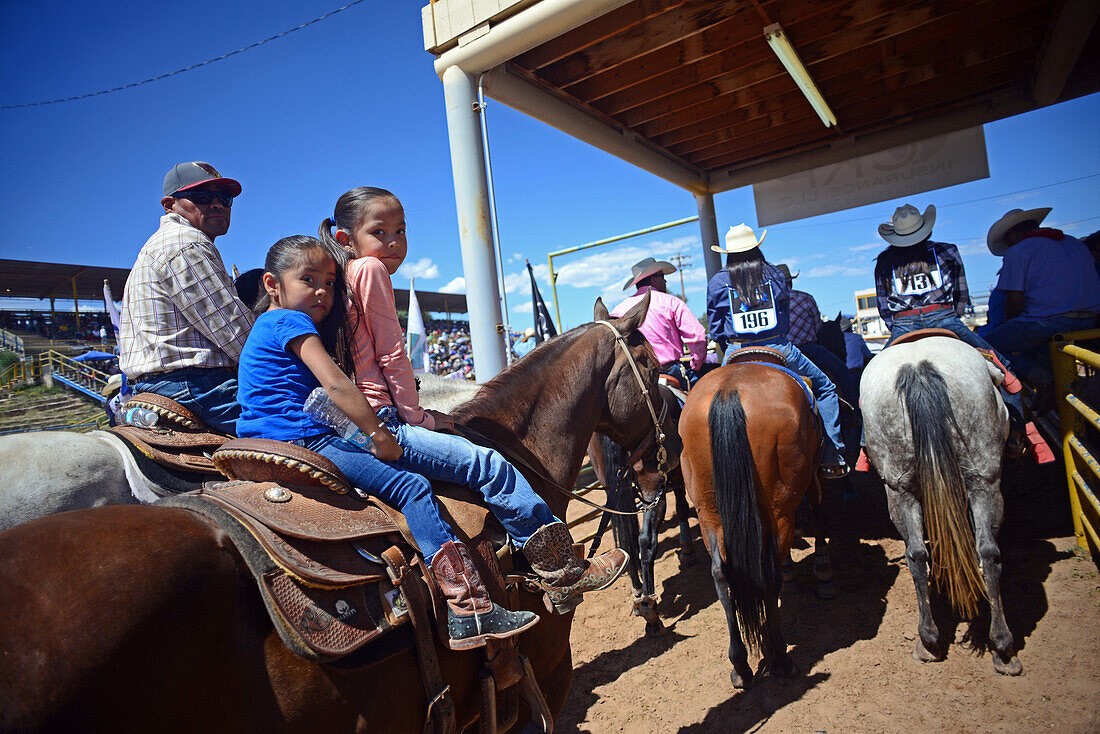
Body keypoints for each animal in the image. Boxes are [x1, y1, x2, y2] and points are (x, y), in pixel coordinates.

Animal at [677, 354, 831, 691]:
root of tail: (729, 390)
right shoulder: (813, 478)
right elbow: (818, 515)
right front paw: (822, 573)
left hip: (708, 510)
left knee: (721, 574)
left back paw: (740, 666)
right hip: (779, 508)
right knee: (769, 572)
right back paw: (780, 657)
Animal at [858, 336, 1020, 673]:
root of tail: (919, 367)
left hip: (899, 488)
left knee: (918, 555)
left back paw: (929, 640)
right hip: (985, 478)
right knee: (989, 552)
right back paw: (1002, 646)